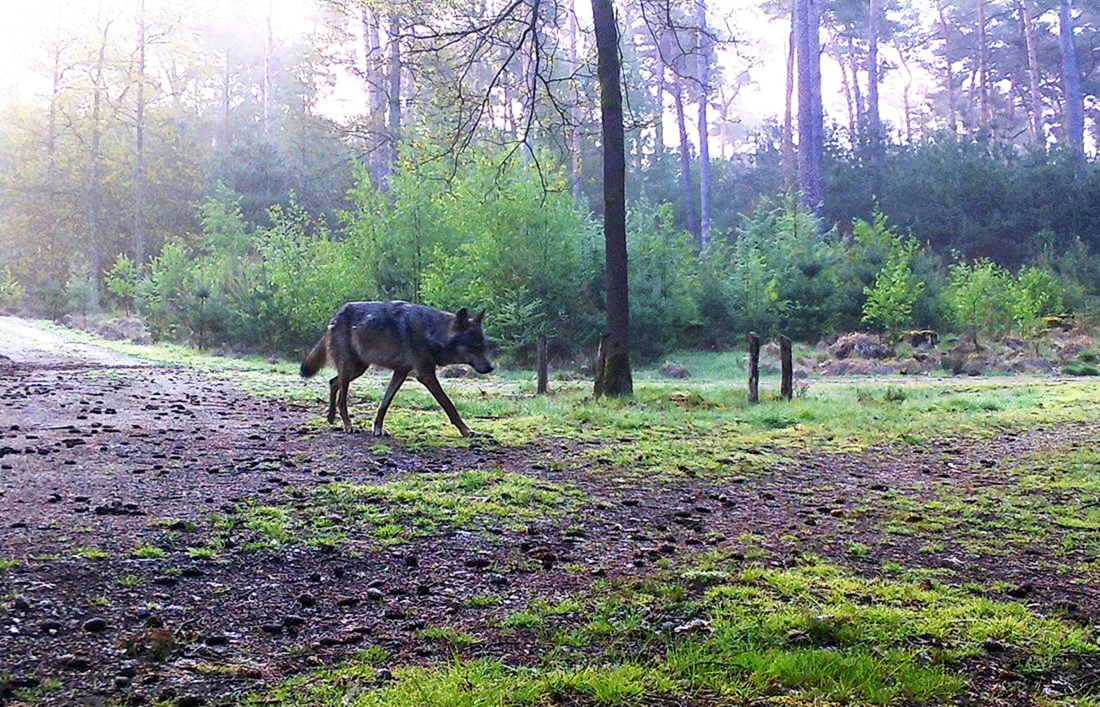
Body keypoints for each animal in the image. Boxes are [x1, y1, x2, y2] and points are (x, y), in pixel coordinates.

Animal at [299, 303, 492, 437]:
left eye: (483, 346)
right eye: (474, 346)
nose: (491, 367)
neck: (431, 332)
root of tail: (334, 317)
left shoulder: (401, 372)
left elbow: (385, 403)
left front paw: (378, 429)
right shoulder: (426, 375)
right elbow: (448, 405)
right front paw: (467, 431)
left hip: (358, 369)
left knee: (332, 382)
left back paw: (331, 418)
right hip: (349, 369)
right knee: (342, 399)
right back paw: (348, 425)